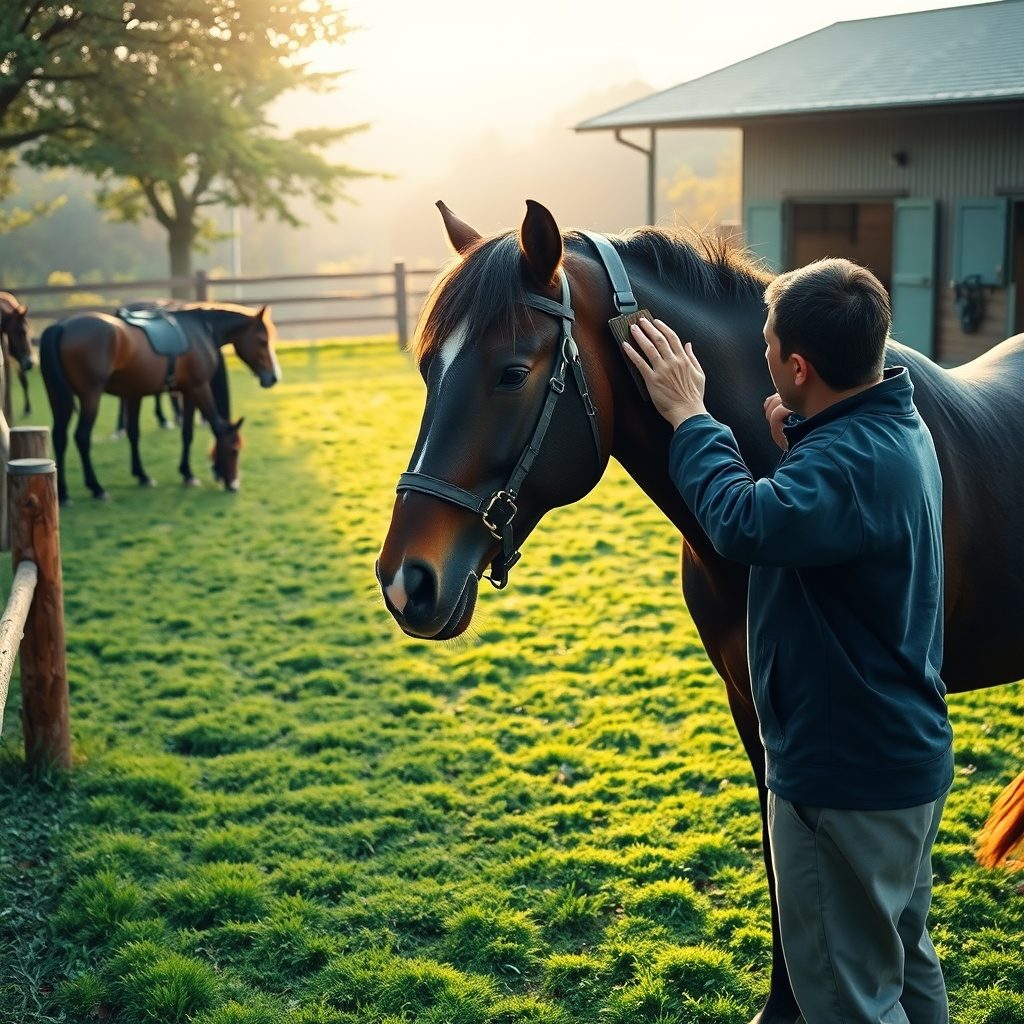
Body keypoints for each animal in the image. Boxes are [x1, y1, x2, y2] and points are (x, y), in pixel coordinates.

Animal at [40, 302, 280, 504]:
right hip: (91, 397)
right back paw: (96, 488)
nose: (273, 377)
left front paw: (142, 475)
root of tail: (61, 326)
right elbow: (190, 433)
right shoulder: (196, 388)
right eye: (234, 450)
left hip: (57, 398)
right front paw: (188, 473)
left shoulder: (134, 394)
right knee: (81, 437)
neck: (201, 331)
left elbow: (134, 434)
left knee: (59, 437)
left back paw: (63, 493)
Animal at [377, 200, 1024, 1024]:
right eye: (428, 368)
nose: (406, 582)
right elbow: (781, 863)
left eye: (513, 372)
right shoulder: (754, 708)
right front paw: (779, 1005)